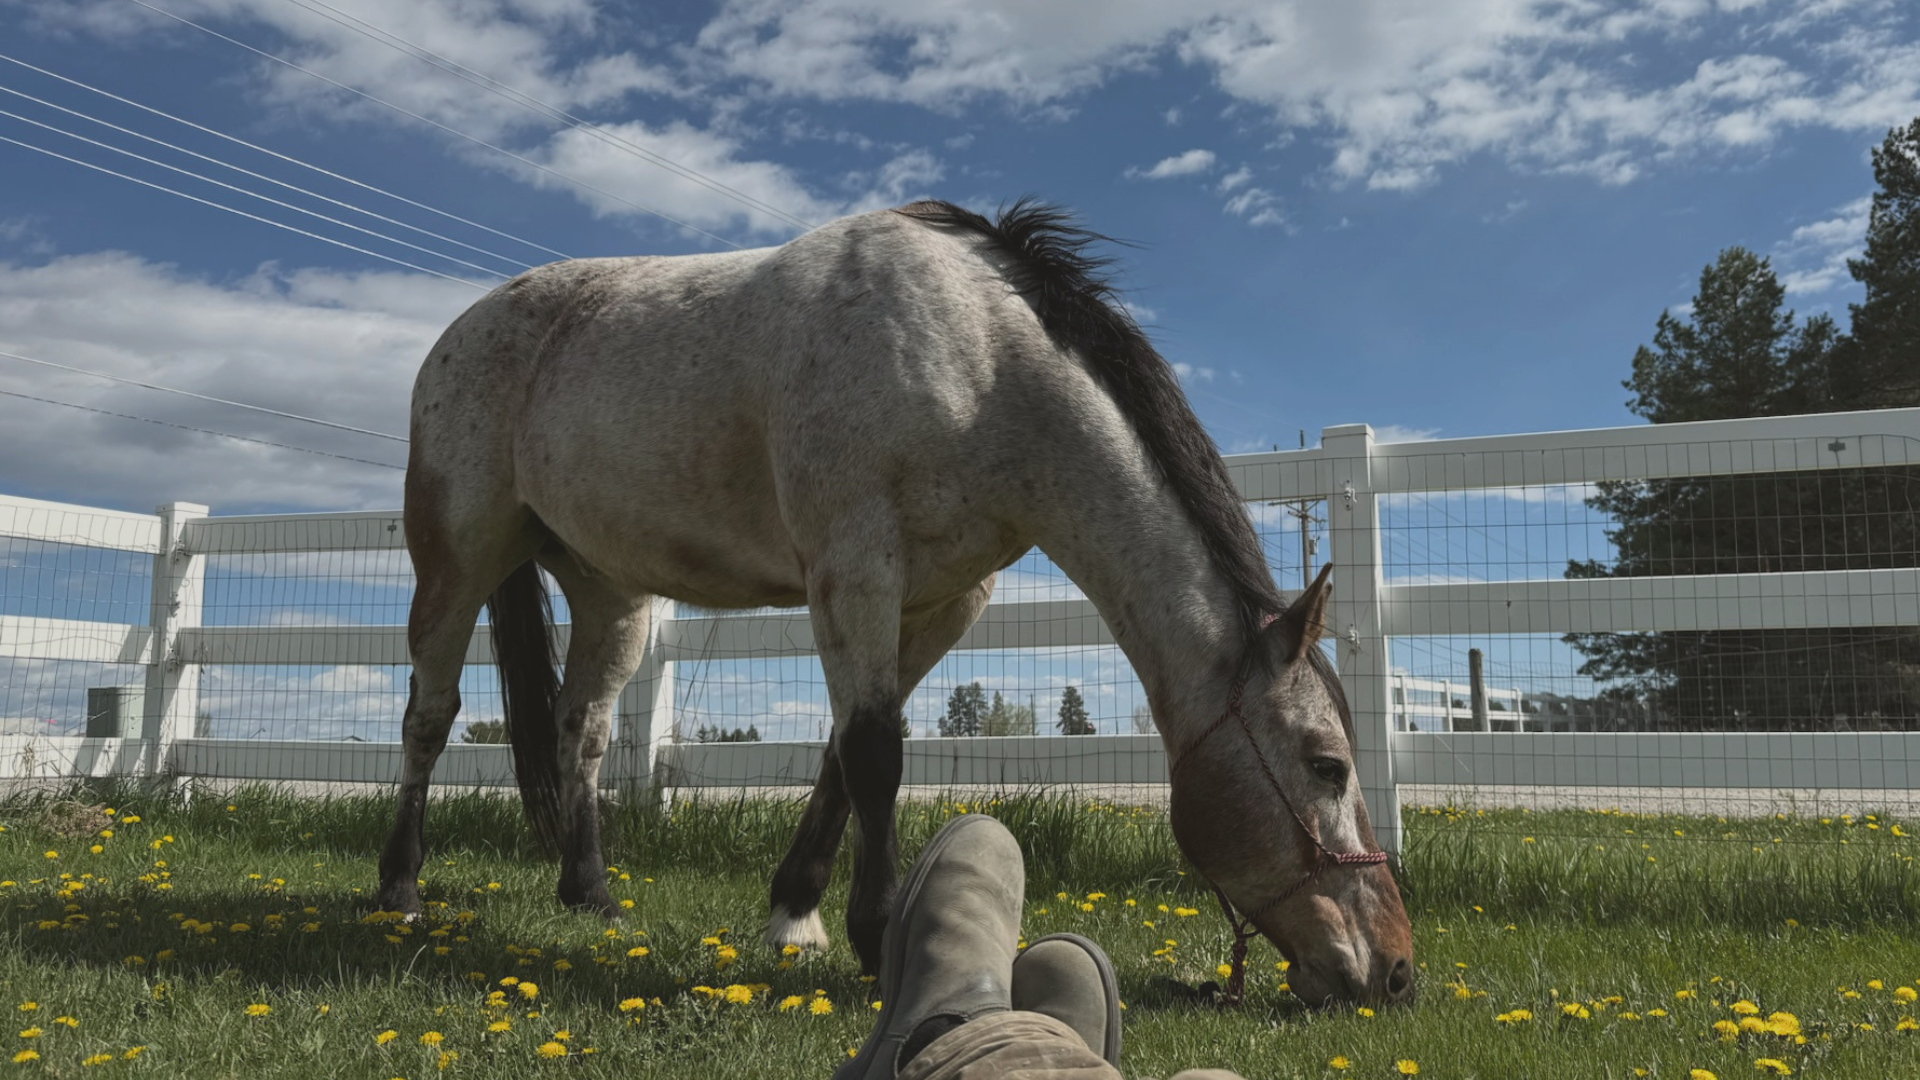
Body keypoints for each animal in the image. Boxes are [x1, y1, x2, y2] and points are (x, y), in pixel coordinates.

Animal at [375, 199, 1415, 1006]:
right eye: (1327, 767)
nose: (1396, 970)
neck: (982, 358)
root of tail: (466, 326)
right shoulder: (857, 569)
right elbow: (875, 753)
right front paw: (875, 941)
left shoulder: (944, 601)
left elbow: (844, 755)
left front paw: (793, 914)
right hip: (458, 557)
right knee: (430, 714)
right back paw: (400, 888)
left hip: (611, 594)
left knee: (582, 730)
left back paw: (589, 892)